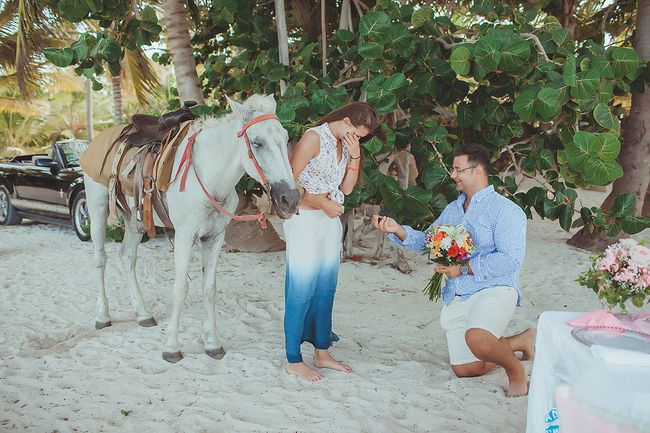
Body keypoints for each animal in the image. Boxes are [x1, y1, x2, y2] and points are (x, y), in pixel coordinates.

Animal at [83, 94, 300, 363]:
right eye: (257, 143)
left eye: (285, 138)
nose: (291, 199)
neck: (209, 177)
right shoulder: (184, 237)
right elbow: (180, 288)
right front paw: (172, 346)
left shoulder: (215, 238)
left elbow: (209, 288)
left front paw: (213, 343)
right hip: (98, 207)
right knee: (101, 259)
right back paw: (102, 316)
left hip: (134, 220)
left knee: (127, 257)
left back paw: (143, 313)